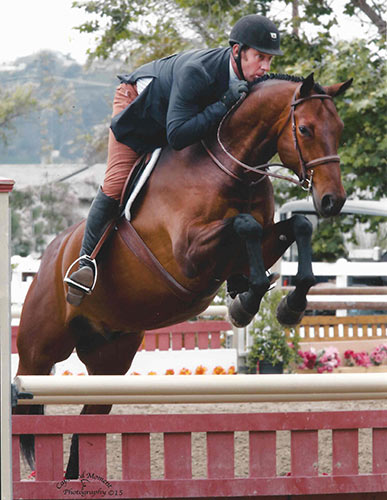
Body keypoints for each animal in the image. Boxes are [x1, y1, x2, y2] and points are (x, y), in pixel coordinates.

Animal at [13, 72, 354, 478]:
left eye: (340, 129)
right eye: (304, 129)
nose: (333, 200)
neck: (231, 169)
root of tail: (49, 256)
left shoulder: (257, 244)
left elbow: (296, 226)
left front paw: (287, 304)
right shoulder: (187, 255)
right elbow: (245, 225)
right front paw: (247, 303)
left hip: (110, 358)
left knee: (88, 417)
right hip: (39, 351)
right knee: (23, 398)